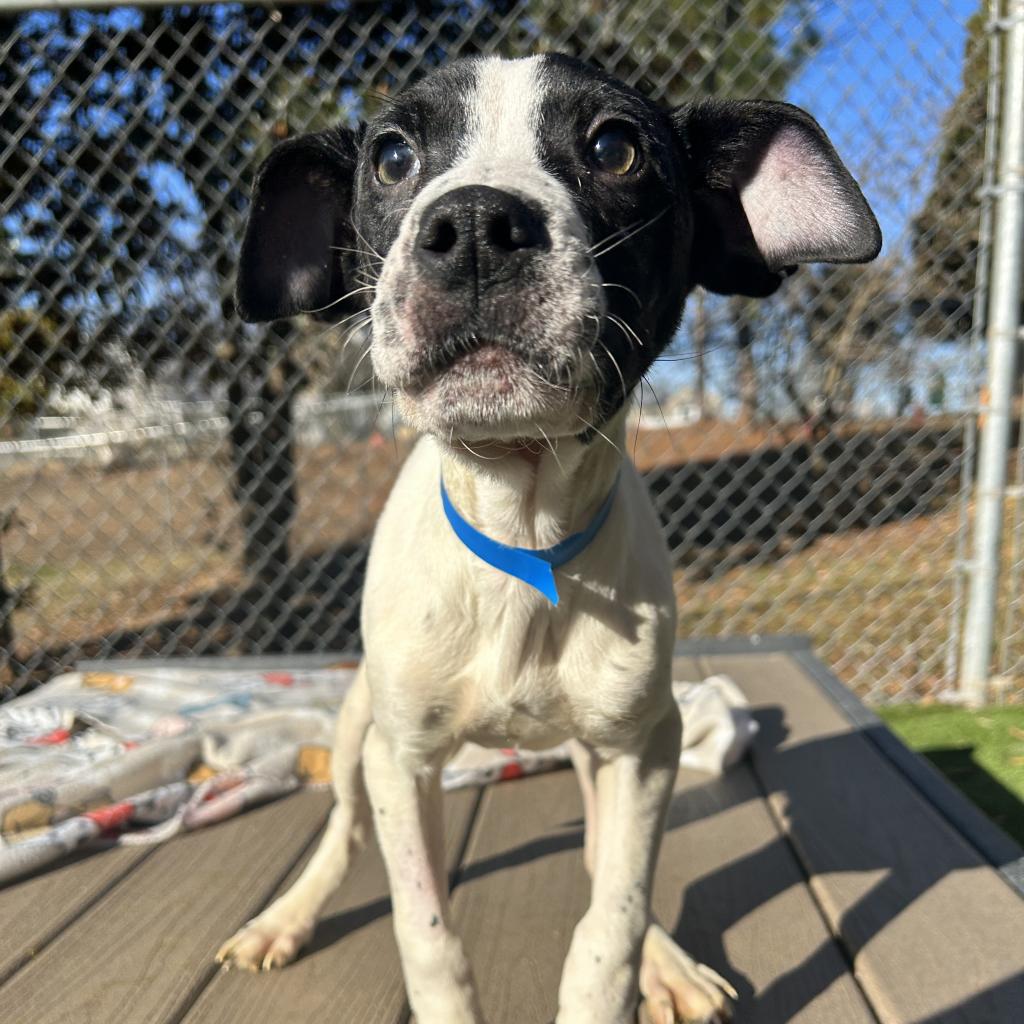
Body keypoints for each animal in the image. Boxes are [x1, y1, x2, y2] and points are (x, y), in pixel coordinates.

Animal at [218, 56, 880, 1024]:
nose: (474, 228)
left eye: (615, 147)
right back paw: (286, 917)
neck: (520, 538)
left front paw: (634, 966)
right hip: (355, 725)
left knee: (606, 861)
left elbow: (613, 920)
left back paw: (669, 962)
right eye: (392, 156)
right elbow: (427, 935)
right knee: (343, 829)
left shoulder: (645, 748)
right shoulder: (401, 758)